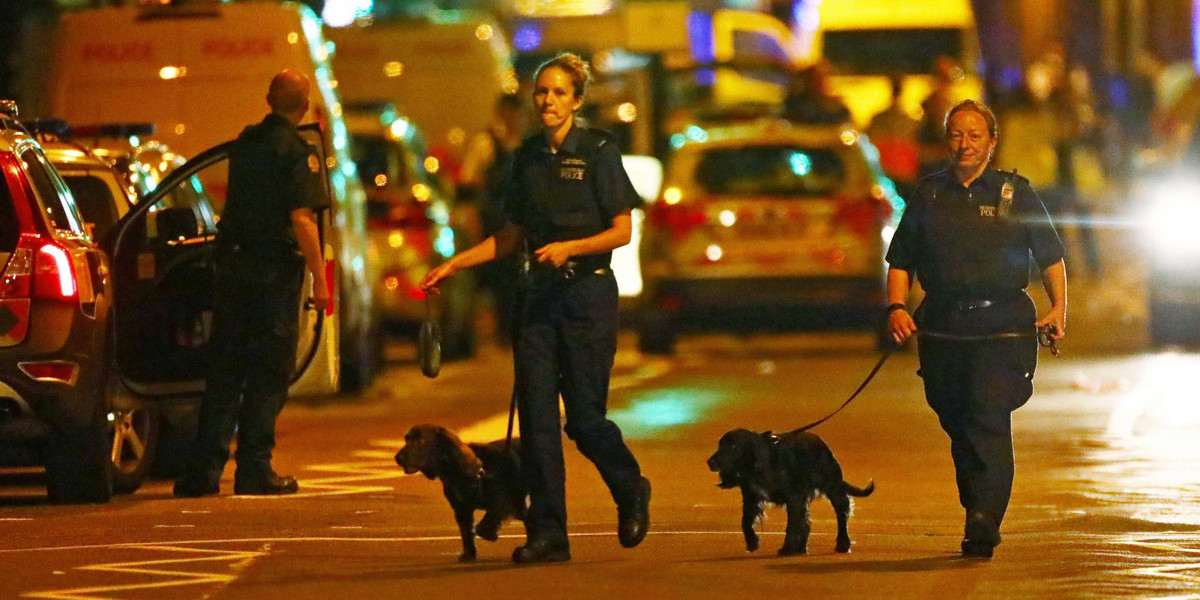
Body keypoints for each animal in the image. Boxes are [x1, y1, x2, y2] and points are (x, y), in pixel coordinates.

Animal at [174, 69, 328, 496]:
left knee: (223, 378)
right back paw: (263, 477)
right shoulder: (303, 170)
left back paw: (200, 479)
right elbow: (302, 217)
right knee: (270, 371)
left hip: (231, 308)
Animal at [396, 424, 528, 559]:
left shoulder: (502, 498)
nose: (397, 458)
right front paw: (469, 553)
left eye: (419, 441)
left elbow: (488, 519)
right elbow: (466, 533)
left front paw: (489, 533)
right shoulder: (461, 510)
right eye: (407, 439)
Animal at [420, 54, 652, 564]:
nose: (547, 101)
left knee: (587, 421)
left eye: (559, 92)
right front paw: (545, 538)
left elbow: (619, 225)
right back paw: (547, 540)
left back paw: (635, 509)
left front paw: (560, 252)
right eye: (544, 91)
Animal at [700, 429, 873, 554]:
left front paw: (787, 548)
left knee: (841, 515)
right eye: (720, 445)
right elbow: (745, 522)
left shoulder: (793, 497)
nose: (710, 462)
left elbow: (793, 525)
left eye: (733, 447)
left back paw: (842, 544)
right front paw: (752, 542)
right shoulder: (751, 497)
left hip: (833, 488)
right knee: (806, 522)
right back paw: (801, 548)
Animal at [883, 100, 1070, 559]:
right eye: (957, 134)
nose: (964, 146)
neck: (969, 182)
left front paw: (983, 524)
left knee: (976, 420)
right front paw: (898, 319)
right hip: (942, 380)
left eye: (974, 134)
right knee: (956, 423)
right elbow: (901, 259)